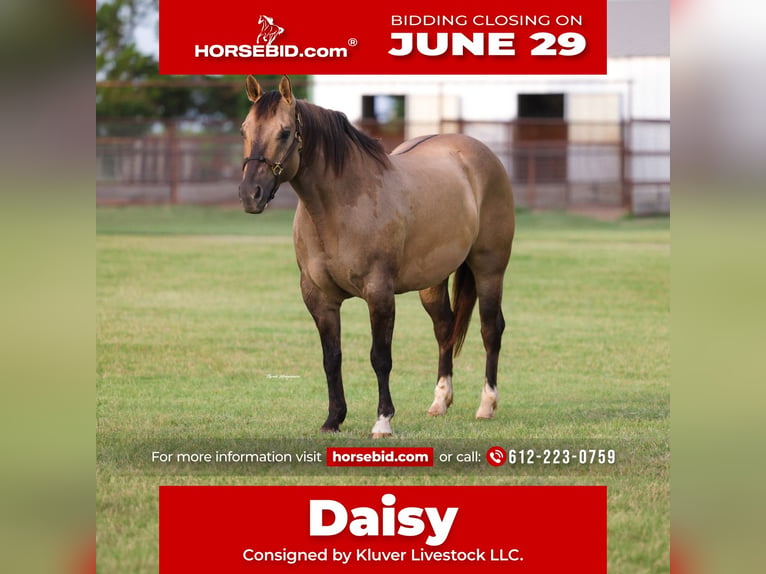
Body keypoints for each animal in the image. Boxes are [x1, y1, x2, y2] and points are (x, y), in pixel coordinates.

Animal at [238, 76, 515, 437]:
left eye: (284, 132)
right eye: (244, 130)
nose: (250, 195)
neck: (339, 206)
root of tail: (481, 155)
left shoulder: (379, 292)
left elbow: (380, 357)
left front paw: (383, 421)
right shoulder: (319, 297)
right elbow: (332, 357)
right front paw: (333, 419)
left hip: (489, 269)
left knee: (490, 329)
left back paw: (487, 405)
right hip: (433, 282)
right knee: (444, 329)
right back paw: (439, 401)